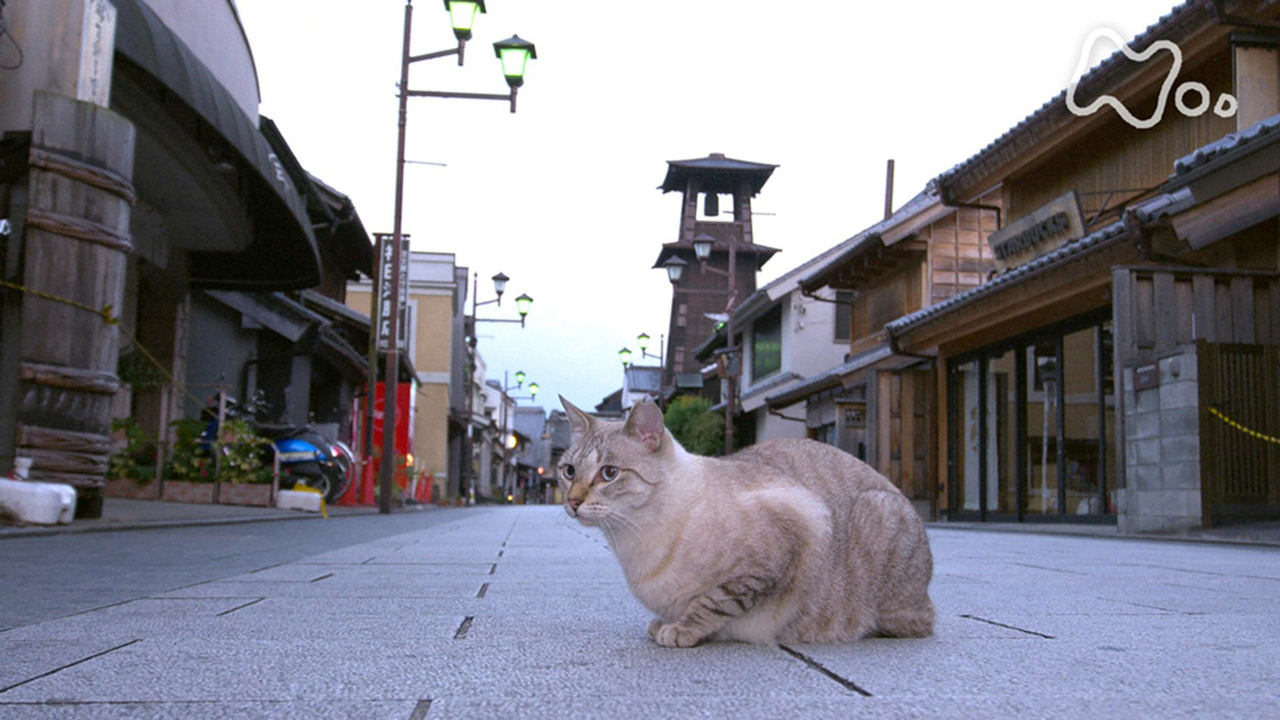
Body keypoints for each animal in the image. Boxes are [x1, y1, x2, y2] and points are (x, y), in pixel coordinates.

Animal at [558, 394, 931, 648]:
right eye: (569, 471)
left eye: (609, 473)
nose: (573, 502)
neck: (630, 543)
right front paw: (663, 623)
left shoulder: (781, 545)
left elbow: (711, 604)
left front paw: (679, 630)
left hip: (877, 517)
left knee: (914, 624)